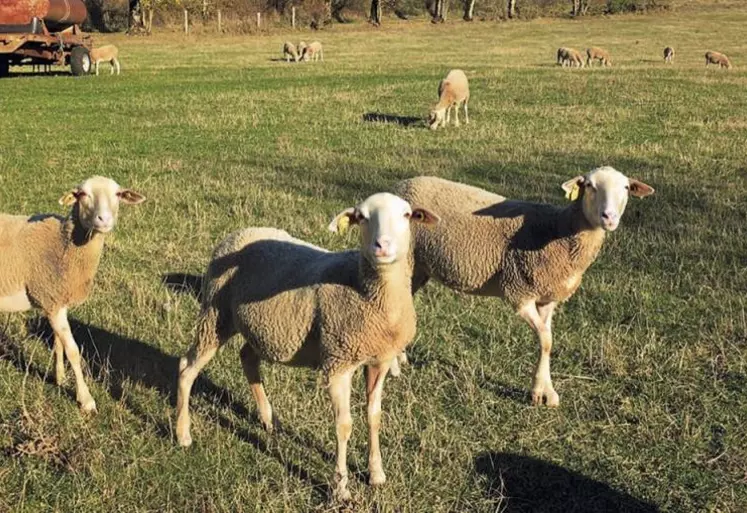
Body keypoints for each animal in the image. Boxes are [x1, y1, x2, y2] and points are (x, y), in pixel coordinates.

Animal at [0, 176, 145, 412]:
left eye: (117, 194)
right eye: (82, 194)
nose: (104, 219)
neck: (64, 244)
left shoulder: (58, 299)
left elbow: (58, 342)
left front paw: (59, 377)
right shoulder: (51, 296)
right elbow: (73, 351)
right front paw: (86, 399)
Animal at [176, 192, 442, 500]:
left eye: (407, 215)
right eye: (361, 217)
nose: (382, 246)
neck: (367, 291)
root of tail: (237, 233)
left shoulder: (380, 360)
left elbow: (374, 416)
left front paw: (376, 474)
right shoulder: (338, 362)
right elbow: (344, 425)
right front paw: (340, 487)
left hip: (260, 326)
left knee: (247, 357)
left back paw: (268, 419)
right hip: (216, 313)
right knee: (187, 368)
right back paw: (182, 434)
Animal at [392, 168, 656, 408]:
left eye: (626, 188)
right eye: (589, 185)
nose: (609, 217)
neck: (559, 230)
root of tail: (402, 185)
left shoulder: (547, 298)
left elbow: (548, 339)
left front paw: (545, 391)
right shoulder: (519, 292)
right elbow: (545, 339)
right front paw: (539, 391)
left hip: (419, 268)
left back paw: (400, 356)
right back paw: (394, 364)